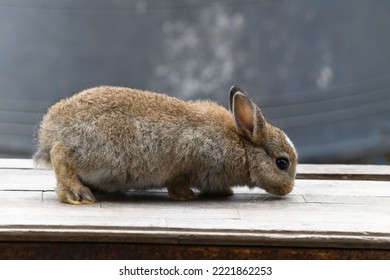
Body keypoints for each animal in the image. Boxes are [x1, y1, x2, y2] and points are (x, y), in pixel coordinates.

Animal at [33, 84, 298, 205]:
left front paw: (224, 192)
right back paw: (78, 195)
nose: (288, 189)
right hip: (104, 157)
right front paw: (187, 197)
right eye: (282, 163)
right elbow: (177, 182)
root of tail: (50, 131)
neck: (243, 146)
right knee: (60, 155)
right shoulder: (190, 160)